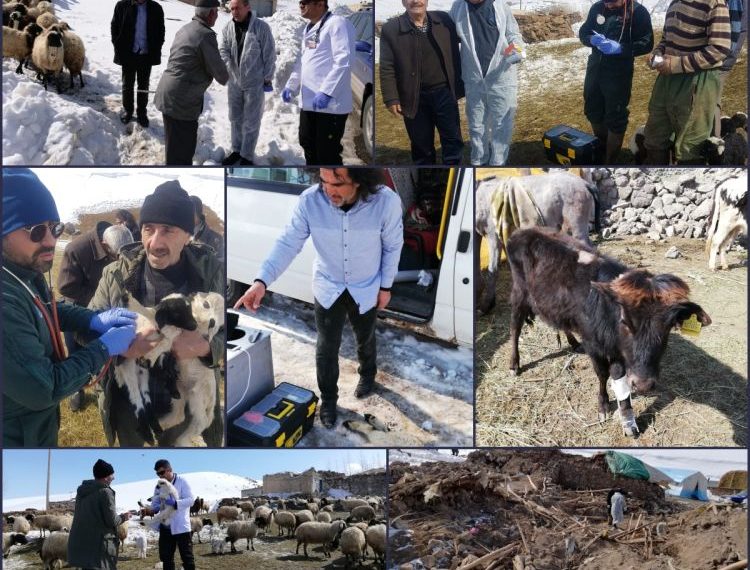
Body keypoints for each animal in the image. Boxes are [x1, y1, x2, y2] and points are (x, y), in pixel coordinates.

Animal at [508, 226, 712, 434]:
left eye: (669, 326)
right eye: (625, 321)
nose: (643, 384)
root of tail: (524, 231)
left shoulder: (620, 353)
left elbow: (618, 377)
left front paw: (627, 415)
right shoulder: (593, 345)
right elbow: (602, 374)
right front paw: (603, 405)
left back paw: (573, 343)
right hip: (519, 293)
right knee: (515, 327)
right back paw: (515, 363)